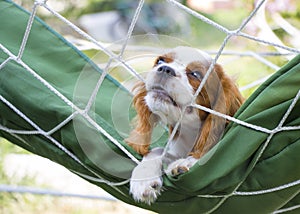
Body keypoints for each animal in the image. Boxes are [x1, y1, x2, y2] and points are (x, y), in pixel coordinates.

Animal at [124, 46, 244, 204]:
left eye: (195, 74)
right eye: (160, 61)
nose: (165, 69)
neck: (189, 132)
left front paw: (186, 163)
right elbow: (156, 150)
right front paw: (143, 179)